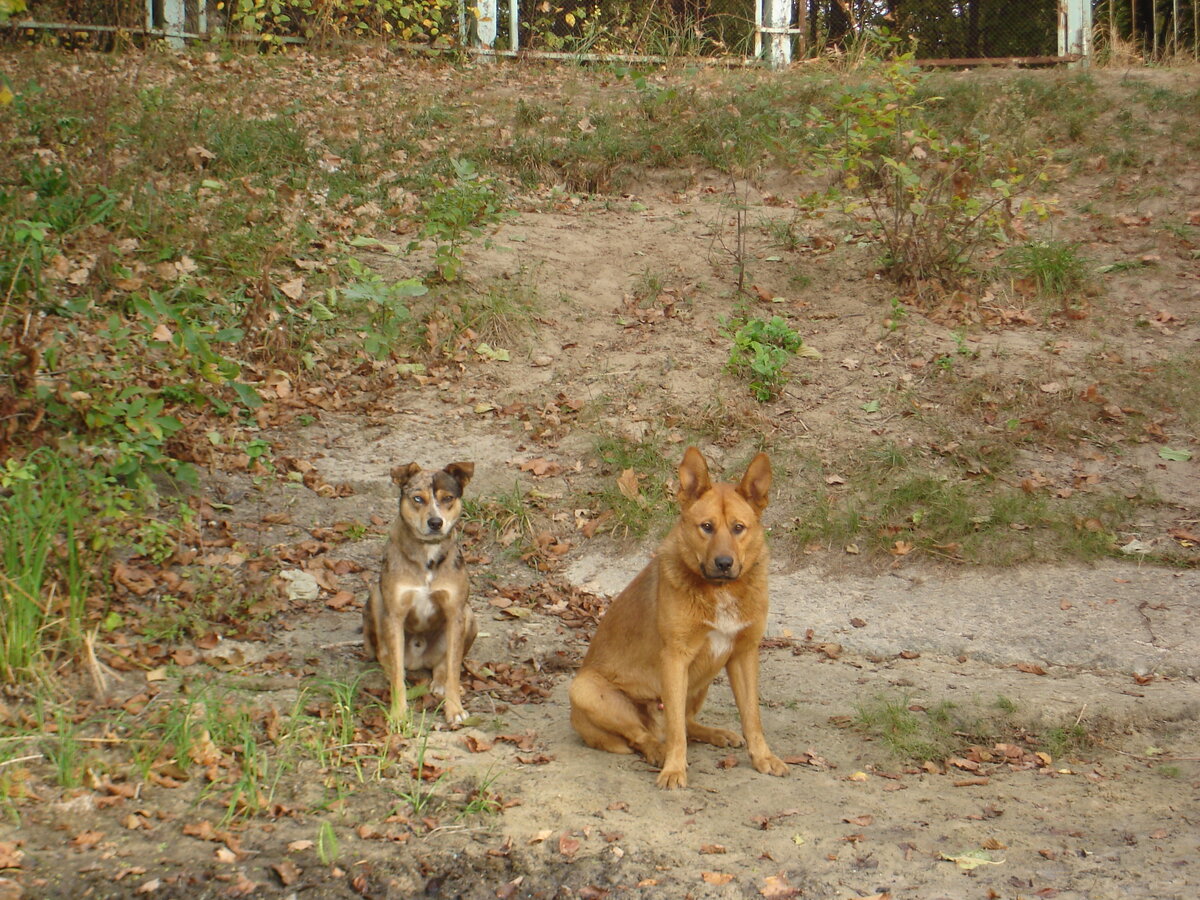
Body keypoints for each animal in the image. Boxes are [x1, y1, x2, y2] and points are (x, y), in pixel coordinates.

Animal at [364, 460, 477, 729]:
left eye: (448, 498)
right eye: (417, 498)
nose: (436, 522)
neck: (428, 554)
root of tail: (418, 660)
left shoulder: (456, 612)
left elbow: (454, 668)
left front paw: (454, 709)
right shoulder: (394, 615)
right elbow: (397, 674)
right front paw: (398, 714)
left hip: (469, 615)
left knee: (444, 664)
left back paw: (440, 683)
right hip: (375, 598)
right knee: (387, 659)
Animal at [568, 448, 787, 787]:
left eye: (738, 528)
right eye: (706, 526)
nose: (724, 563)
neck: (720, 591)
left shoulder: (744, 654)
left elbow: (752, 716)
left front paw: (763, 757)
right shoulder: (675, 657)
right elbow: (676, 733)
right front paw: (674, 768)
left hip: (703, 679)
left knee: (685, 722)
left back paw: (714, 733)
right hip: (585, 689)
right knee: (645, 735)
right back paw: (658, 751)